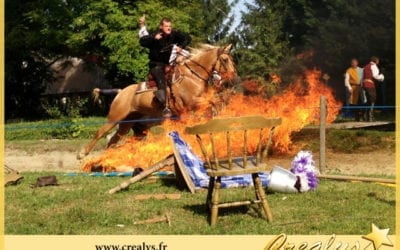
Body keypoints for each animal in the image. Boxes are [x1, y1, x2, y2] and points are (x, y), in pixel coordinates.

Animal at [78, 44, 238, 159]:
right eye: (225, 60)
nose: (233, 79)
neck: (193, 76)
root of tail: (121, 92)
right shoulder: (192, 102)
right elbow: (213, 102)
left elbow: (215, 102)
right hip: (115, 117)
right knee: (100, 132)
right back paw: (82, 154)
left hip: (127, 123)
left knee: (113, 140)